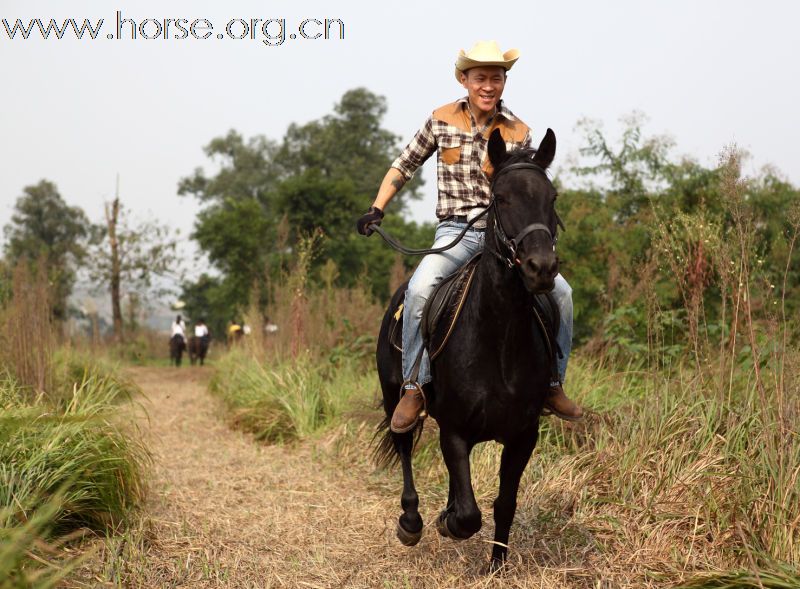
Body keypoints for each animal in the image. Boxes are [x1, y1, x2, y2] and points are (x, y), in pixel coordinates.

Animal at [376, 126, 564, 568]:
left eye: (552, 198)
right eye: (501, 198)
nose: (541, 268)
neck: (499, 341)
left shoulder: (523, 435)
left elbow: (503, 504)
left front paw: (496, 565)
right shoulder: (456, 430)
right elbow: (467, 515)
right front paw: (446, 523)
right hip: (393, 397)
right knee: (404, 444)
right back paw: (411, 522)